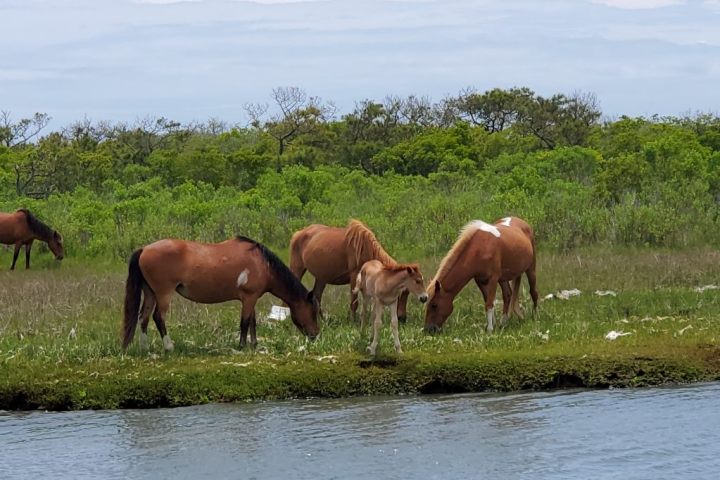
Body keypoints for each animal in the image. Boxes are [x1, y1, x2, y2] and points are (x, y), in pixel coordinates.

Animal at [122, 235, 320, 352]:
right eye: (314, 312)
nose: (316, 335)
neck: (262, 264)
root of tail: (144, 249)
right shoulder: (249, 298)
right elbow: (245, 322)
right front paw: (242, 346)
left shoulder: (252, 298)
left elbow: (252, 322)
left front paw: (254, 344)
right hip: (164, 293)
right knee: (158, 317)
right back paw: (169, 347)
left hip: (150, 293)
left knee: (144, 317)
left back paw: (145, 348)